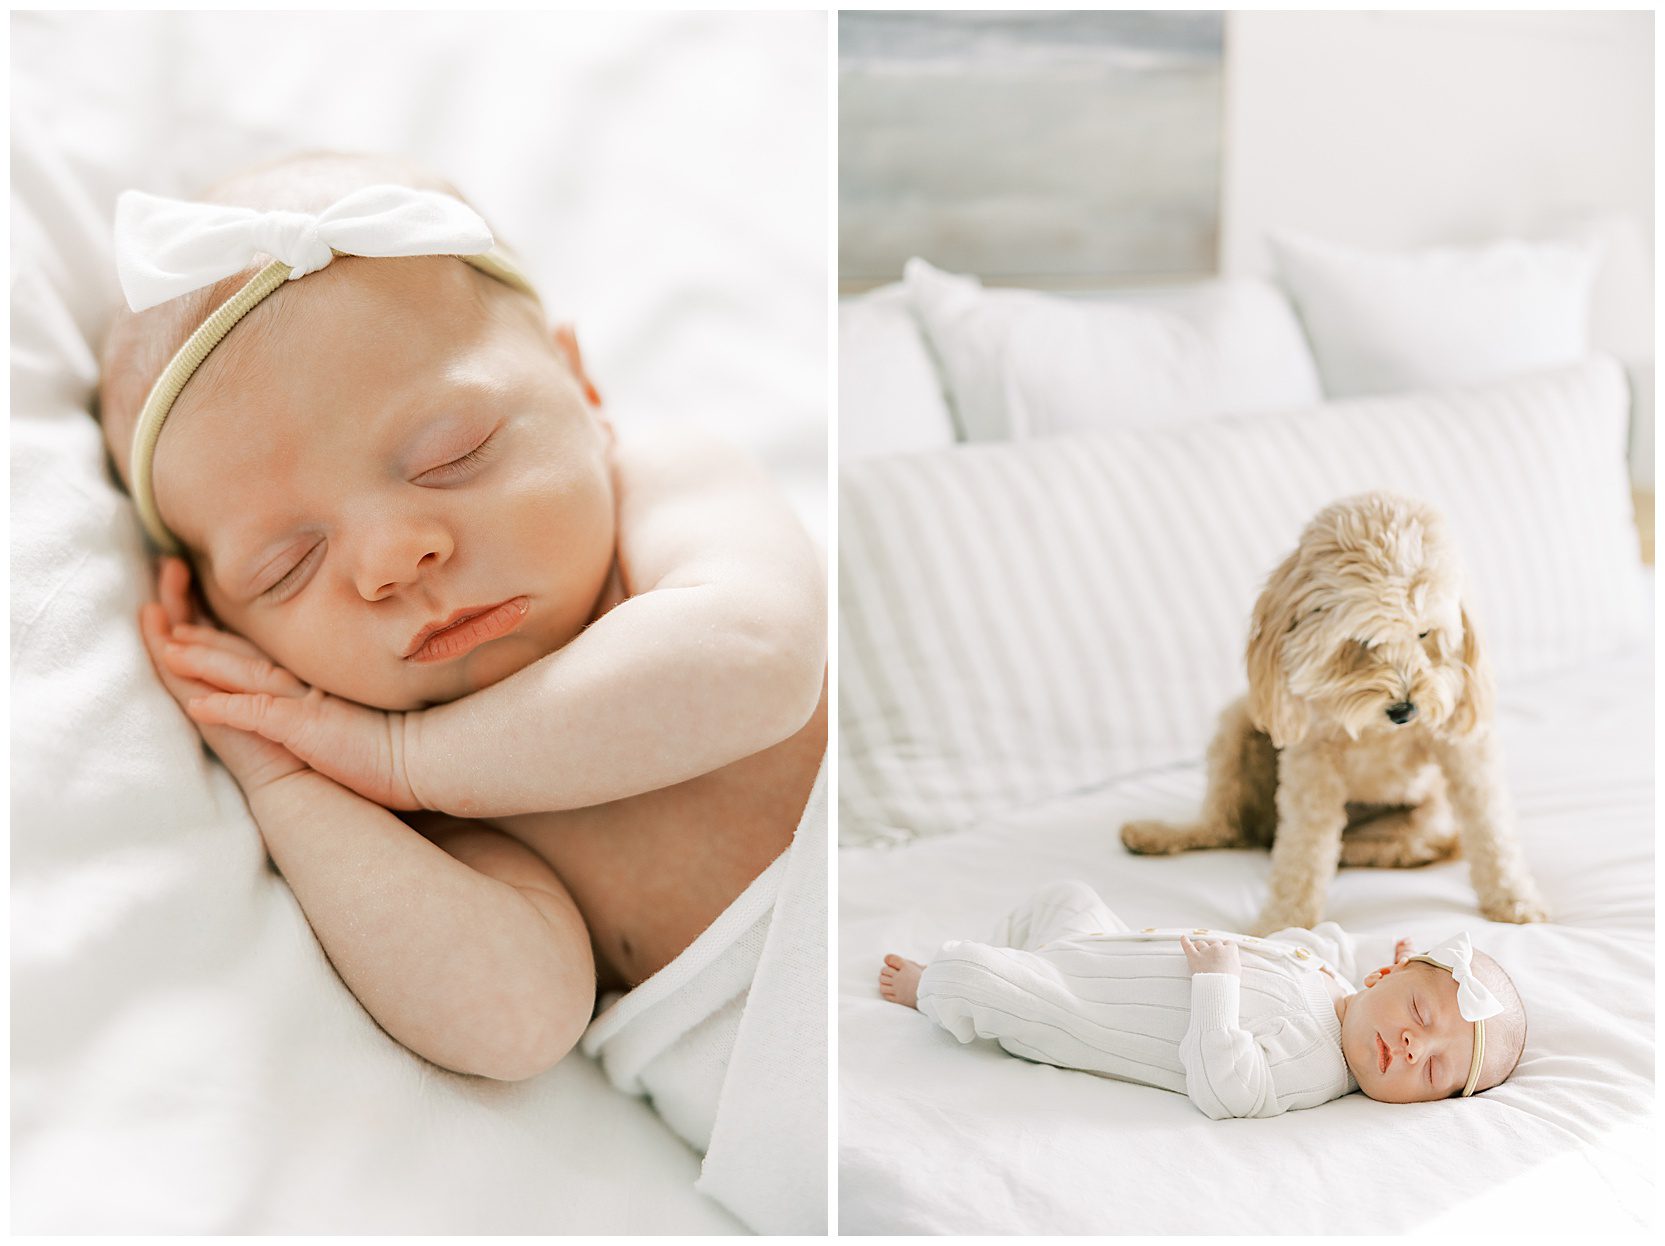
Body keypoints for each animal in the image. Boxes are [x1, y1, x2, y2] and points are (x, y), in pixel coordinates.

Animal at [1118, 493, 1545, 932]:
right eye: (1363, 640)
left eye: (1424, 633)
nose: (1406, 710)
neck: (1376, 728)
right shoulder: (1312, 761)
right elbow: (1304, 850)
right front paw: (1283, 924)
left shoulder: (1464, 748)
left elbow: (1491, 826)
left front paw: (1514, 901)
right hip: (1239, 723)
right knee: (1226, 826)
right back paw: (1161, 834)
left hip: (1424, 824)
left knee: (1402, 848)